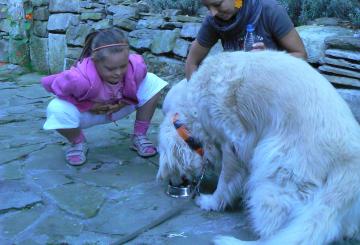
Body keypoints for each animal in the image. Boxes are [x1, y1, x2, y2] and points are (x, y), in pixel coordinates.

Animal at [157, 50, 360, 244]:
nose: (174, 184)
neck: (191, 112)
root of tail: (349, 160)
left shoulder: (233, 142)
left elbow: (225, 181)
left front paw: (211, 202)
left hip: (272, 165)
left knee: (275, 229)